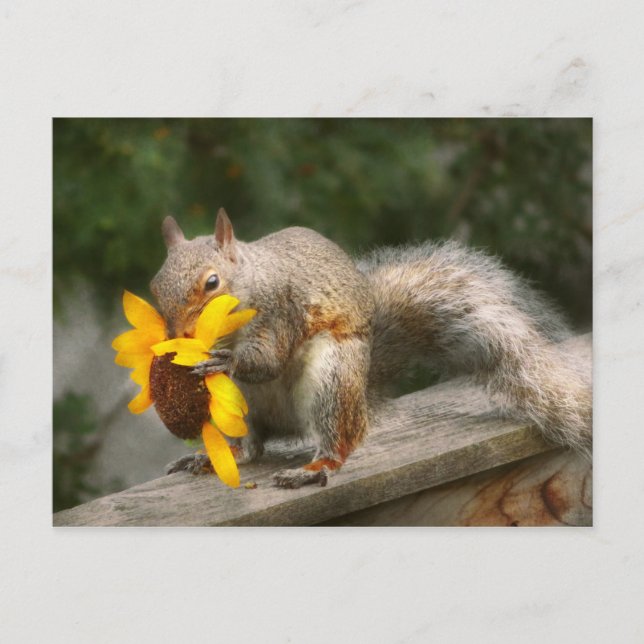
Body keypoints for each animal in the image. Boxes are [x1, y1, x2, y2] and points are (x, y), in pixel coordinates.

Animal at [151, 209, 592, 488]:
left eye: (212, 283)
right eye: (155, 286)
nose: (177, 334)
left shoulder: (280, 312)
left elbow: (268, 359)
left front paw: (224, 359)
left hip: (332, 378)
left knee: (340, 442)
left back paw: (314, 468)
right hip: (241, 408)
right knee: (252, 449)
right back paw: (213, 456)